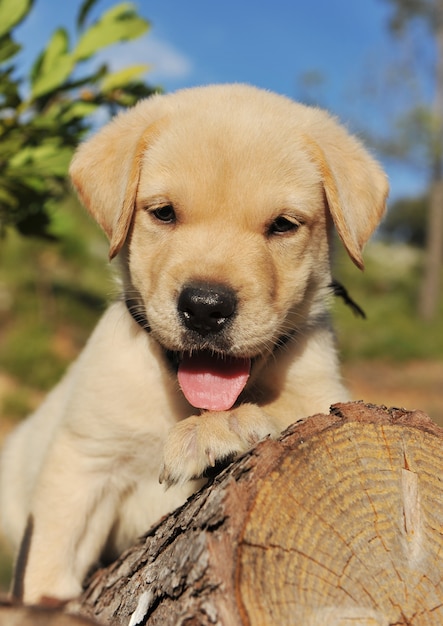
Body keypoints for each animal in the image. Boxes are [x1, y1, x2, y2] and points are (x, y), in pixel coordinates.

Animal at [0, 83, 388, 600]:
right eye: (164, 213)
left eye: (283, 225)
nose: (205, 306)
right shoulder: (84, 458)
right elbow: (46, 555)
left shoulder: (326, 389)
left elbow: (292, 407)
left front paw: (216, 429)